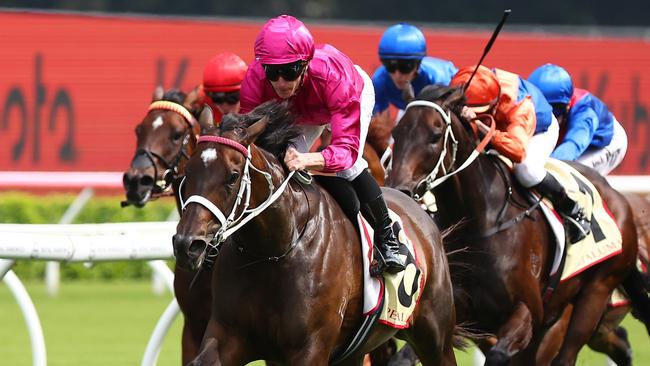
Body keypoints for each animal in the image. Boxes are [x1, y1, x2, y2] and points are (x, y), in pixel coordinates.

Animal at [172, 102, 456, 366]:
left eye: (232, 176)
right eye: (189, 172)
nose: (187, 244)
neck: (273, 251)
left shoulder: (310, 348)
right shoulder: (228, 335)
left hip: (435, 338)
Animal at [382, 84, 644, 364]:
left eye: (435, 135)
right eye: (396, 132)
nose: (399, 189)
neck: (479, 223)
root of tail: (617, 197)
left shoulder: (528, 312)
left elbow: (499, 354)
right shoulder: (449, 311)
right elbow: (406, 355)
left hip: (595, 294)